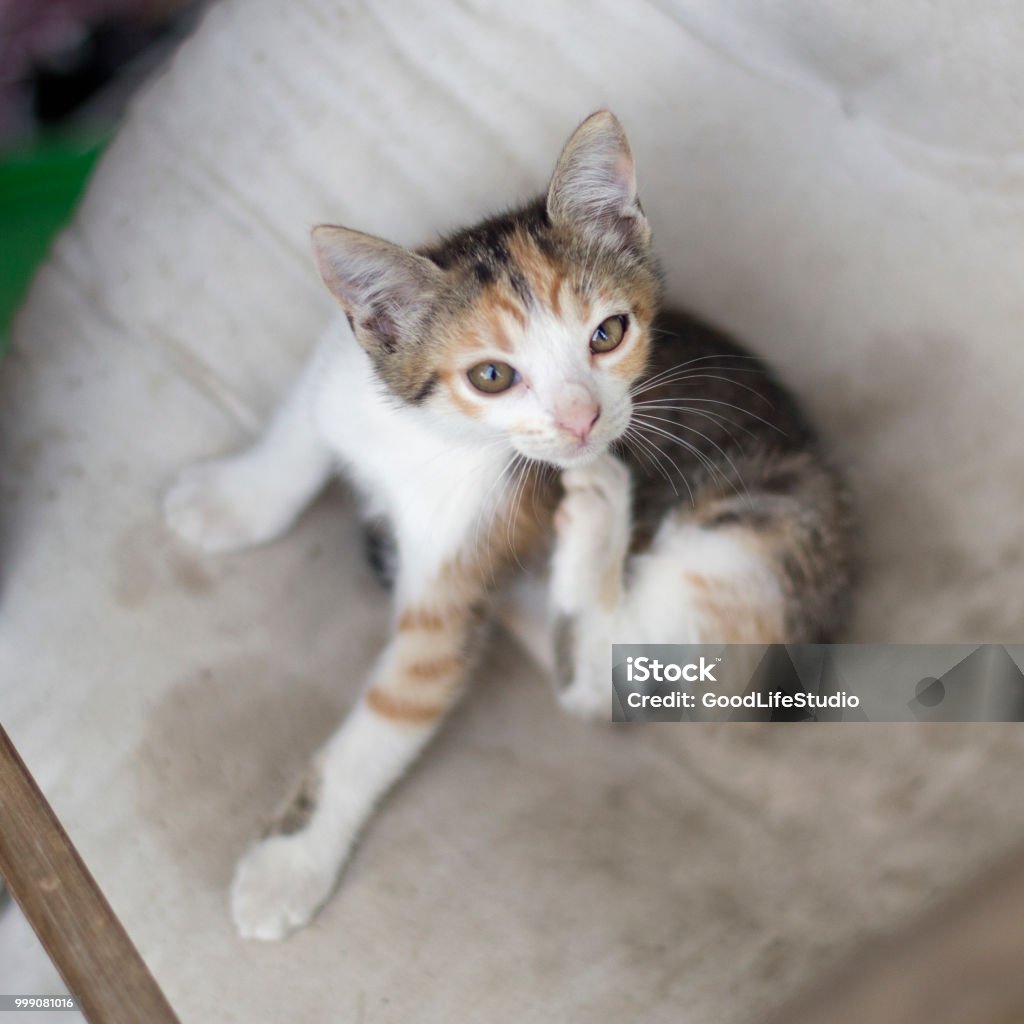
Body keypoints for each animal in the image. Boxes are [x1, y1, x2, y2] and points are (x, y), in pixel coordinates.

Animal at [163, 110, 851, 937]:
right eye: (492, 375)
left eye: (608, 333)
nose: (582, 421)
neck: (427, 438)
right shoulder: (340, 367)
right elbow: (299, 431)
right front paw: (231, 498)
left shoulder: (465, 564)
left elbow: (396, 708)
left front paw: (290, 861)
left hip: (758, 533)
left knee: (603, 680)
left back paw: (597, 514)